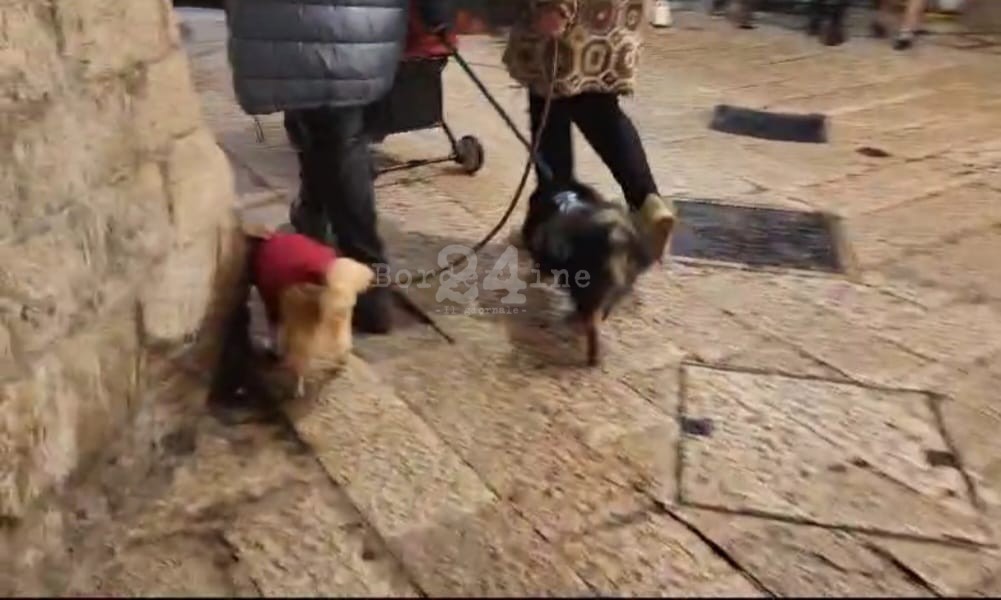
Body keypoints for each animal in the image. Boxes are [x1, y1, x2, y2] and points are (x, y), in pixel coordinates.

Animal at [518, 182, 658, 366]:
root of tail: (615, 240)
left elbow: (537, 271)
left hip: (586, 288)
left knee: (592, 326)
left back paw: (591, 357)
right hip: (619, 284)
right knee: (602, 312)